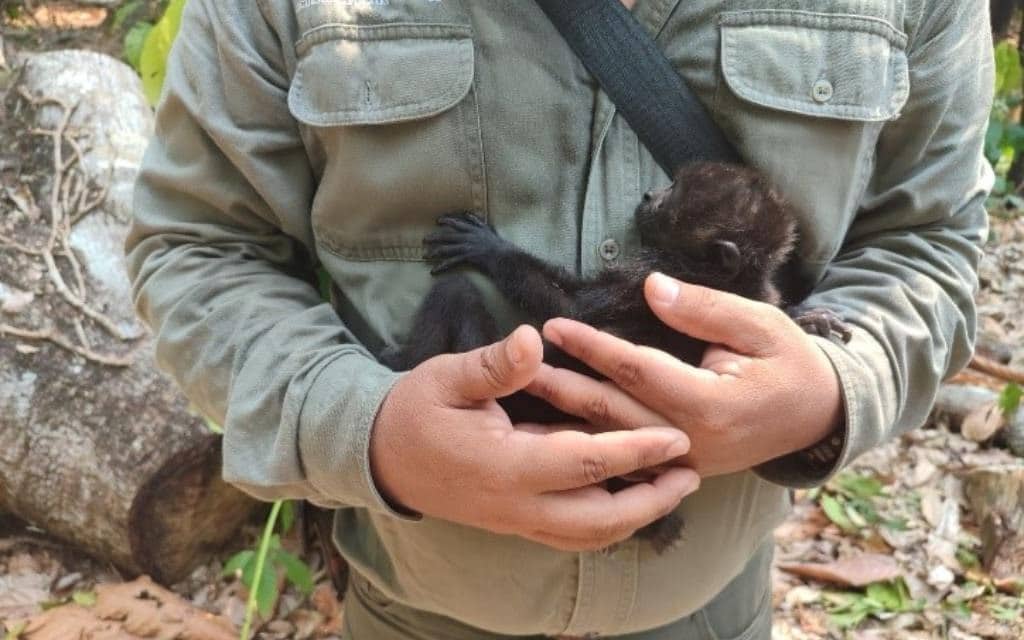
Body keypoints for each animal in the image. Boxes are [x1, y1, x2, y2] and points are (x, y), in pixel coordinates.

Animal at [378, 162, 851, 550]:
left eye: (672, 195)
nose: (648, 195)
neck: (726, 278)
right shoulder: (756, 294)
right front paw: (808, 319)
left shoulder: (650, 277)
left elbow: (571, 313)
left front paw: (490, 248)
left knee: (453, 293)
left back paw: (402, 361)